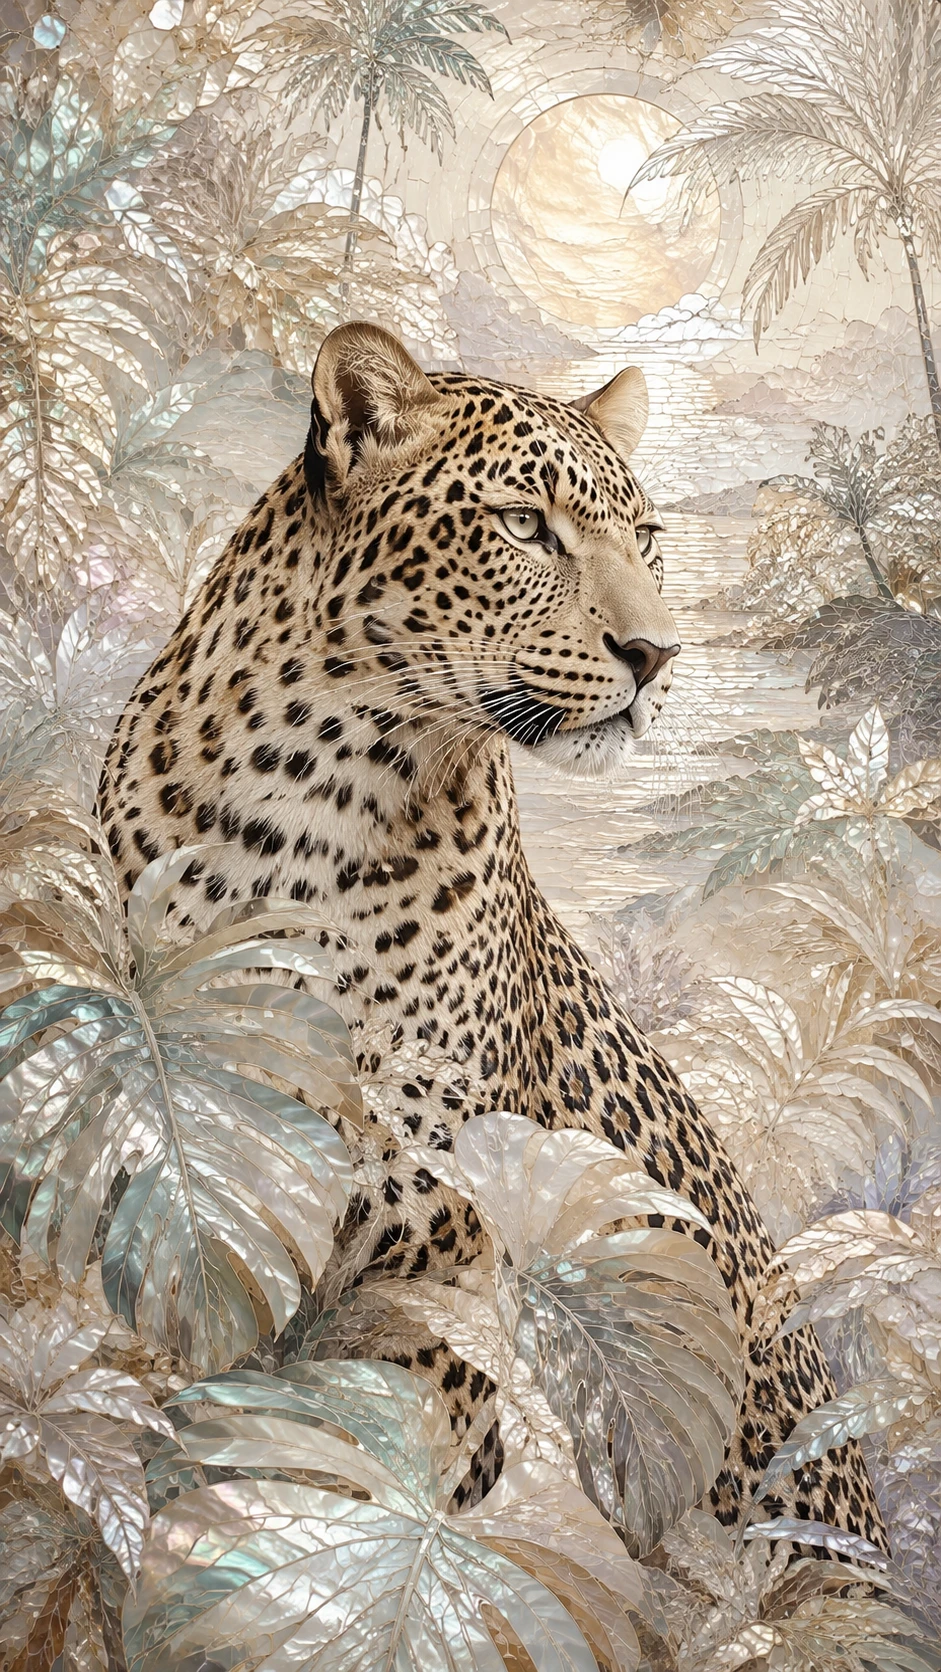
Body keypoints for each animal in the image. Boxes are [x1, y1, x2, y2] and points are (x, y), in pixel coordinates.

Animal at [100, 321, 887, 1551]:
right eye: (524, 525)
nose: (657, 654)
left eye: (645, 538)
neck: (309, 792)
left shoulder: (437, 1232)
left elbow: (377, 1465)